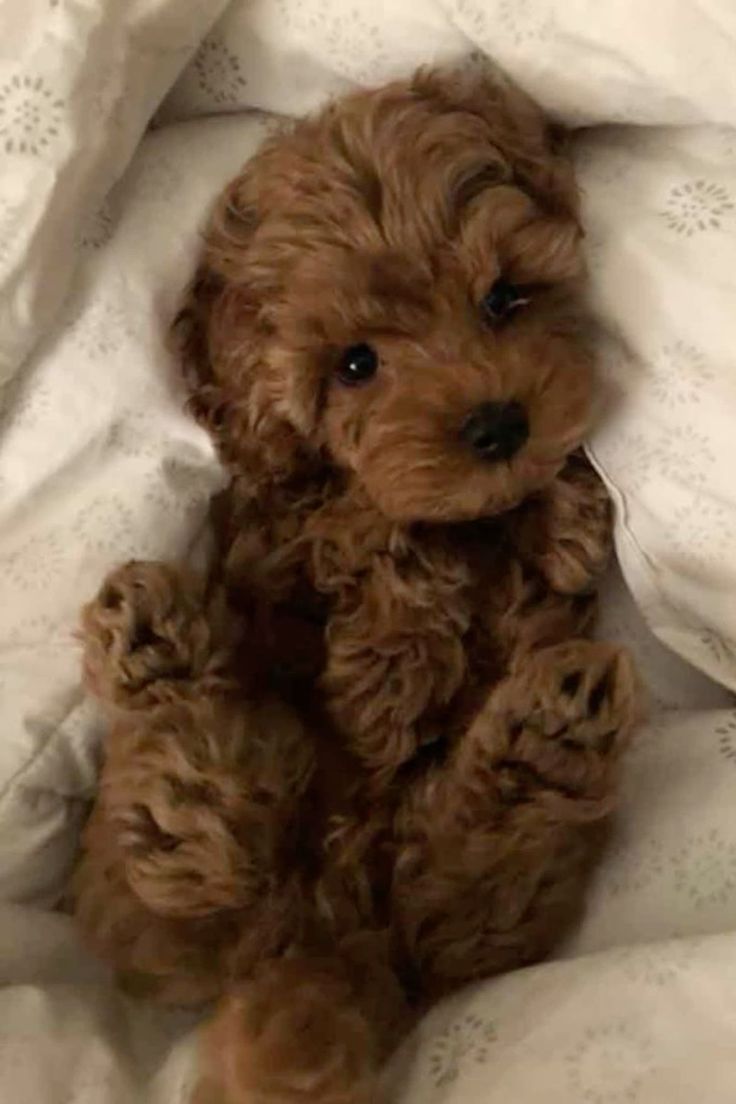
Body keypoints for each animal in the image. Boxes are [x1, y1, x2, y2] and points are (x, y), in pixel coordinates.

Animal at [73, 69, 640, 1104]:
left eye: (504, 297)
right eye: (355, 365)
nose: (498, 425)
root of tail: (323, 933)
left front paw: (563, 524)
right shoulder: (282, 532)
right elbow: (366, 532)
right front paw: (391, 664)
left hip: (462, 921)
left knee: (464, 890)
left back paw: (552, 733)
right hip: (160, 886)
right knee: (192, 870)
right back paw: (157, 651)